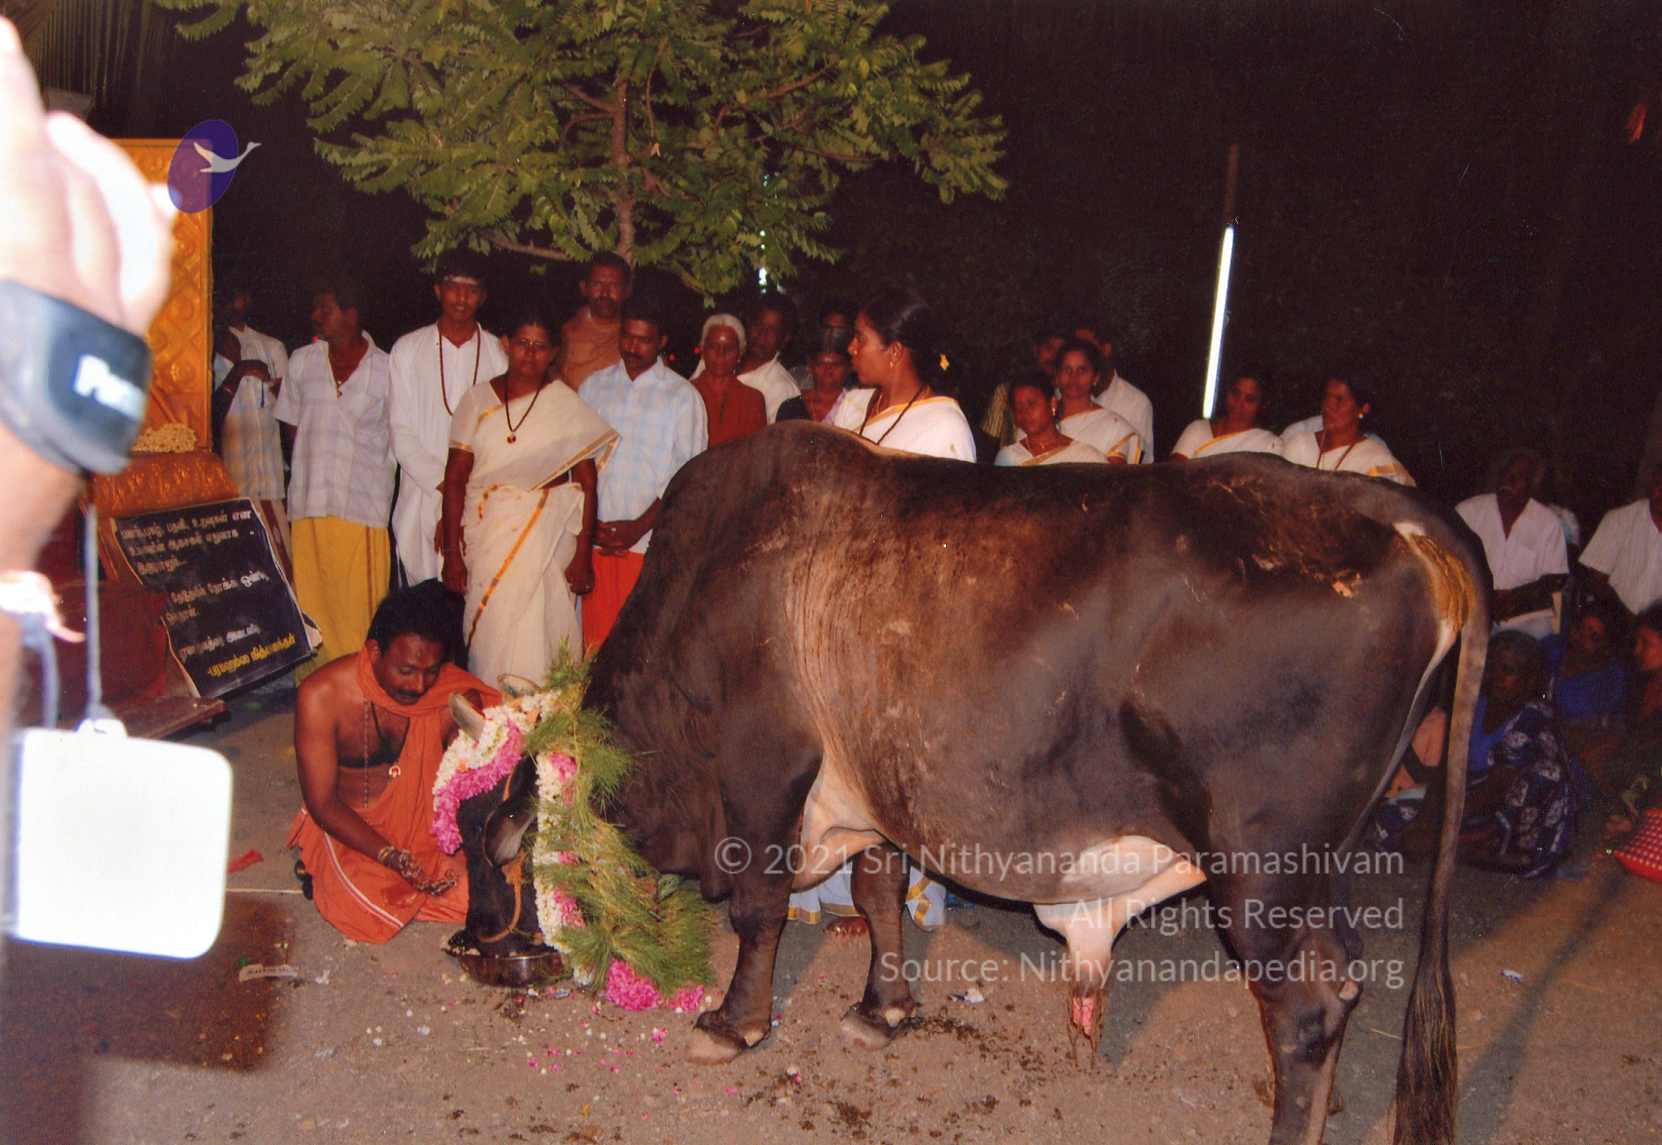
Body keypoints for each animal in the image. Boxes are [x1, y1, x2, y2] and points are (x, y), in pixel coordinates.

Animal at [453, 422, 1486, 1145]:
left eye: (494, 856)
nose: (467, 946)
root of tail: (1383, 507)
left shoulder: (762, 773)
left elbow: (759, 908)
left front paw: (733, 1022)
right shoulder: (866, 798)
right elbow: (876, 894)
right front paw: (884, 1008)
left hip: (1261, 867)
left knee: (1306, 1003)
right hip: (1318, 863)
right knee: (1342, 977)